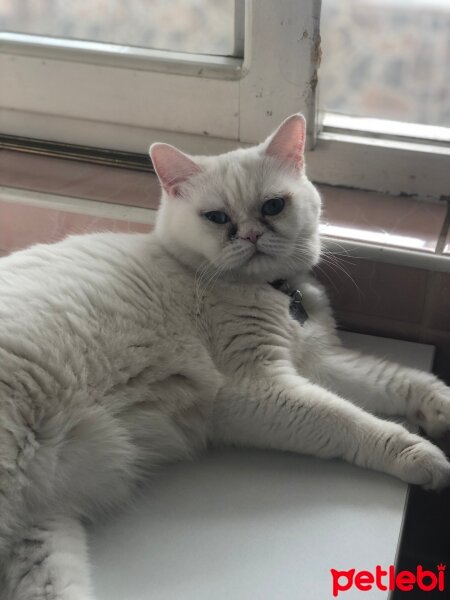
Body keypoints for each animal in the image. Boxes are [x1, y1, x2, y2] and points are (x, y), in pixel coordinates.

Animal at [0, 115, 450, 596]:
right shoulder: (257, 389)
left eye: (273, 206)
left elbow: (396, 379)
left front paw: (440, 407)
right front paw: (422, 456)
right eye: (217, 217)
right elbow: (350, 420)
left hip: (43, 542)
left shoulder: (319, 361)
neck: (275, 292)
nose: (251, 235)